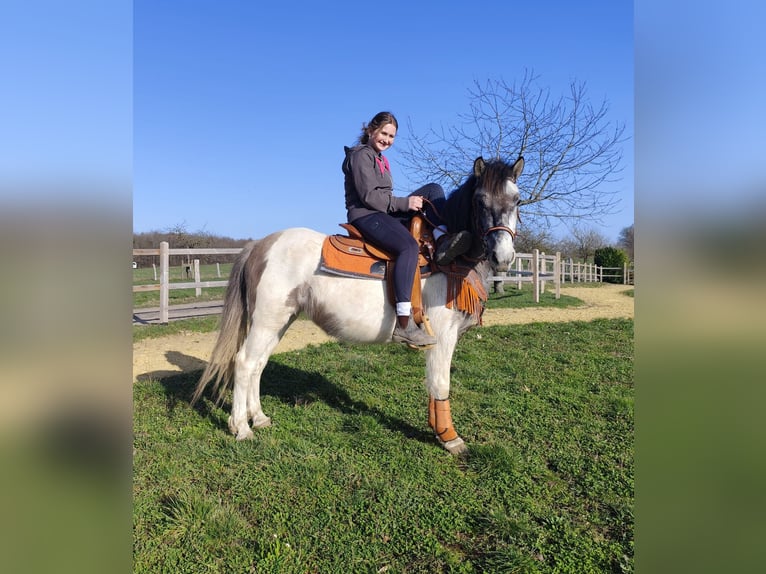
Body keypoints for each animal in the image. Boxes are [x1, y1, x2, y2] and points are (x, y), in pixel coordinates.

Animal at [193, 156, 524, 454]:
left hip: (279, 321)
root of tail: (258, 245)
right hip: (266, 320)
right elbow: (440, 385)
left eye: (517, 200)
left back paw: (259, 418)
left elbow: (434, 387)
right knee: (245, 362)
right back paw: (241, 427)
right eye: (480, 201)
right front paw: (450, 438)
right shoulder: (442, 336)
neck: (449, 260)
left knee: (258, 364)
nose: (503, 257)